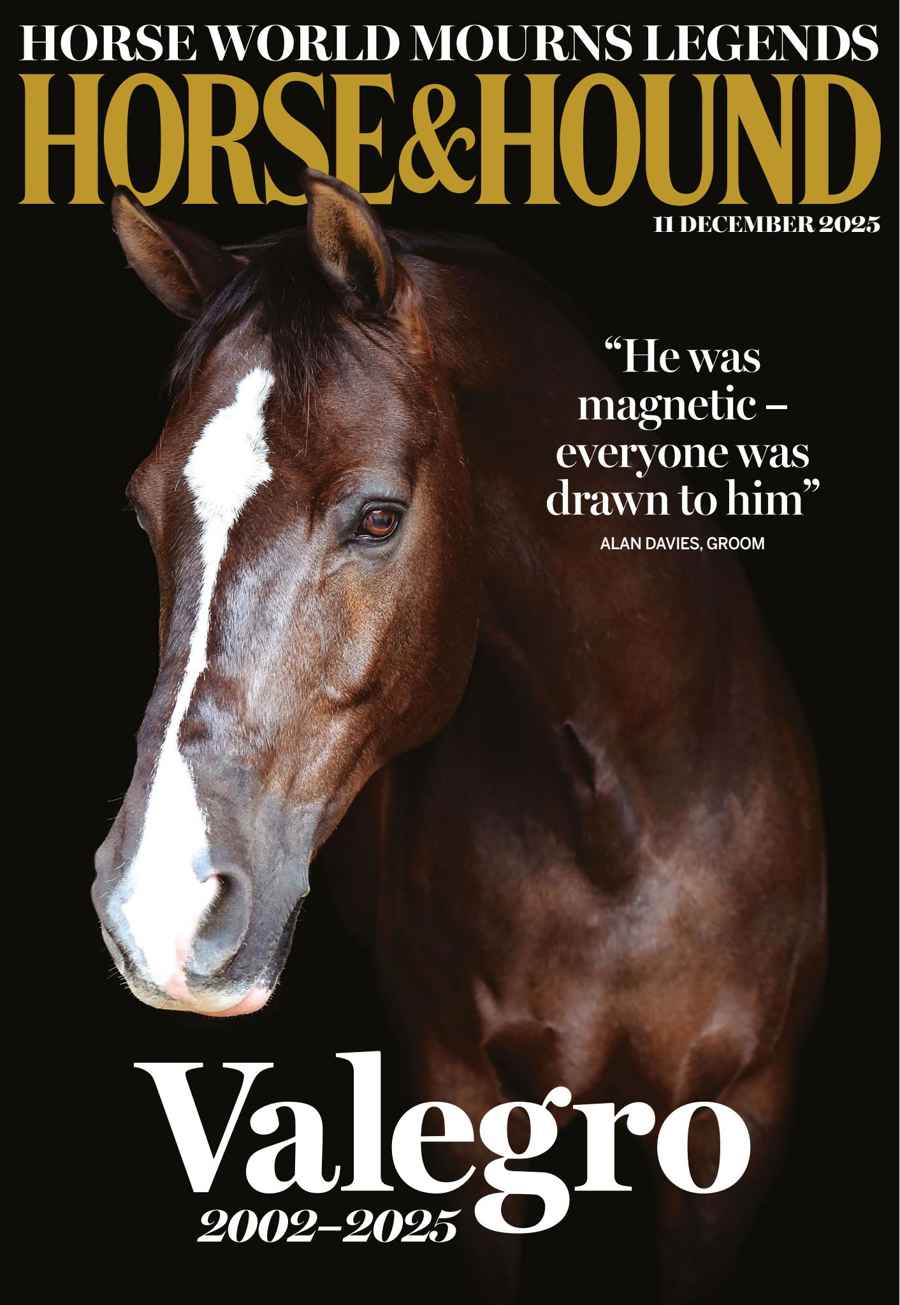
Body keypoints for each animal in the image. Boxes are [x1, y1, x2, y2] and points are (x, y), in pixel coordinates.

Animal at [92, 169, 826, 1302]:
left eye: (379, 517)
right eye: (142, 513)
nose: (157, 907)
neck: (620, 833)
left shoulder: (740, 1118)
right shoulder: (465, 1100)